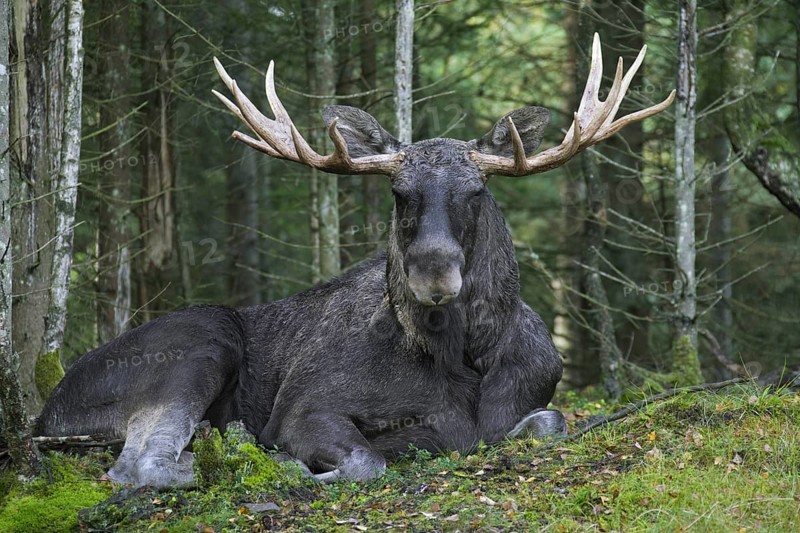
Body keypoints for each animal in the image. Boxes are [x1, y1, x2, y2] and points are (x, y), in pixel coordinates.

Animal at [36, 34, 674, 487]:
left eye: (476, 192)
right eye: (398, 193)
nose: (432, 272)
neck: (465, 359)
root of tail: (45, 415)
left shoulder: (528, 405)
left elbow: (549, 421)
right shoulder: (304, 409)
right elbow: (369, 459)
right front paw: (293, 462)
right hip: (200, 342)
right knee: (138, 466)